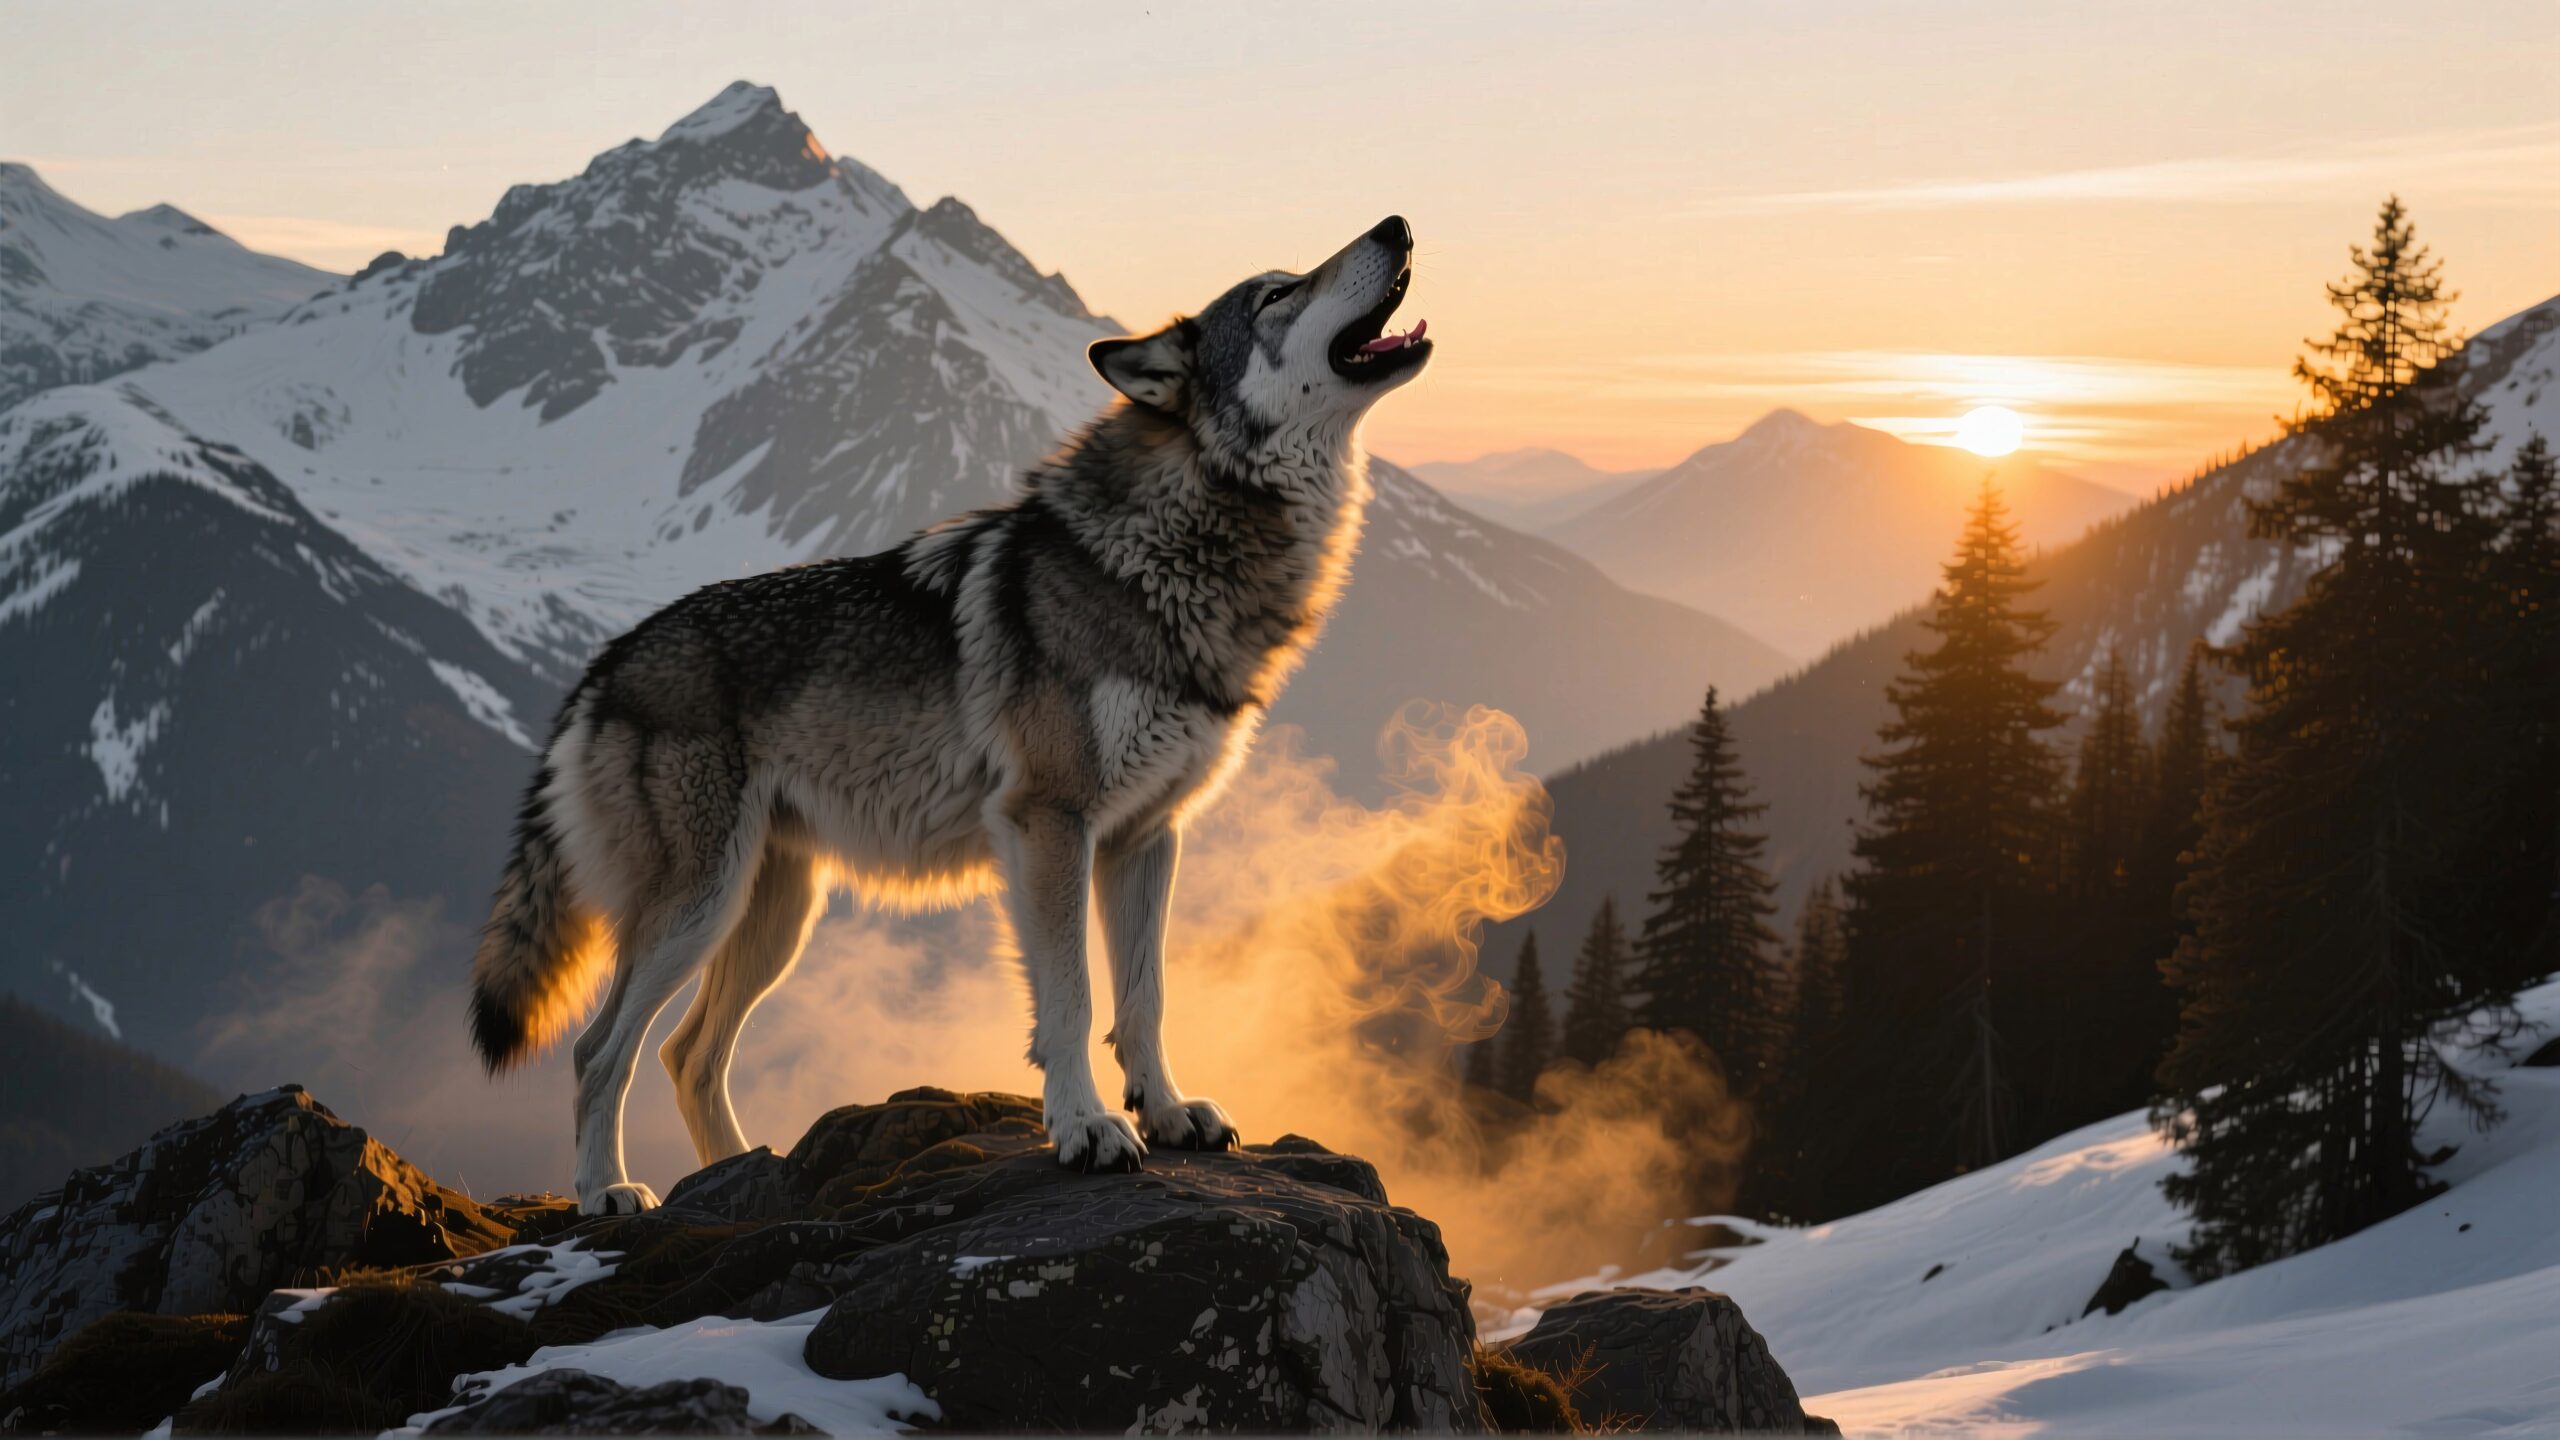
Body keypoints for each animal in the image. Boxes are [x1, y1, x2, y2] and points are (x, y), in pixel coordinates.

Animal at [468, 217, 1433, 1213]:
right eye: (1276, 294)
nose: (1397, 225)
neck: (1177, 550)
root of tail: (602, 665)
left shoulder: (1146, 836)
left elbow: (1146, 996)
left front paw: (1166, 1114)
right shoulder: (1049, 822)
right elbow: (1073, 1000)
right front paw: (1087, 1129)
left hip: (772, 915)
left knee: (686, 1054)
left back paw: (740, 1173)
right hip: (698, 908)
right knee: (599, 1051)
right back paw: (607, 1193)